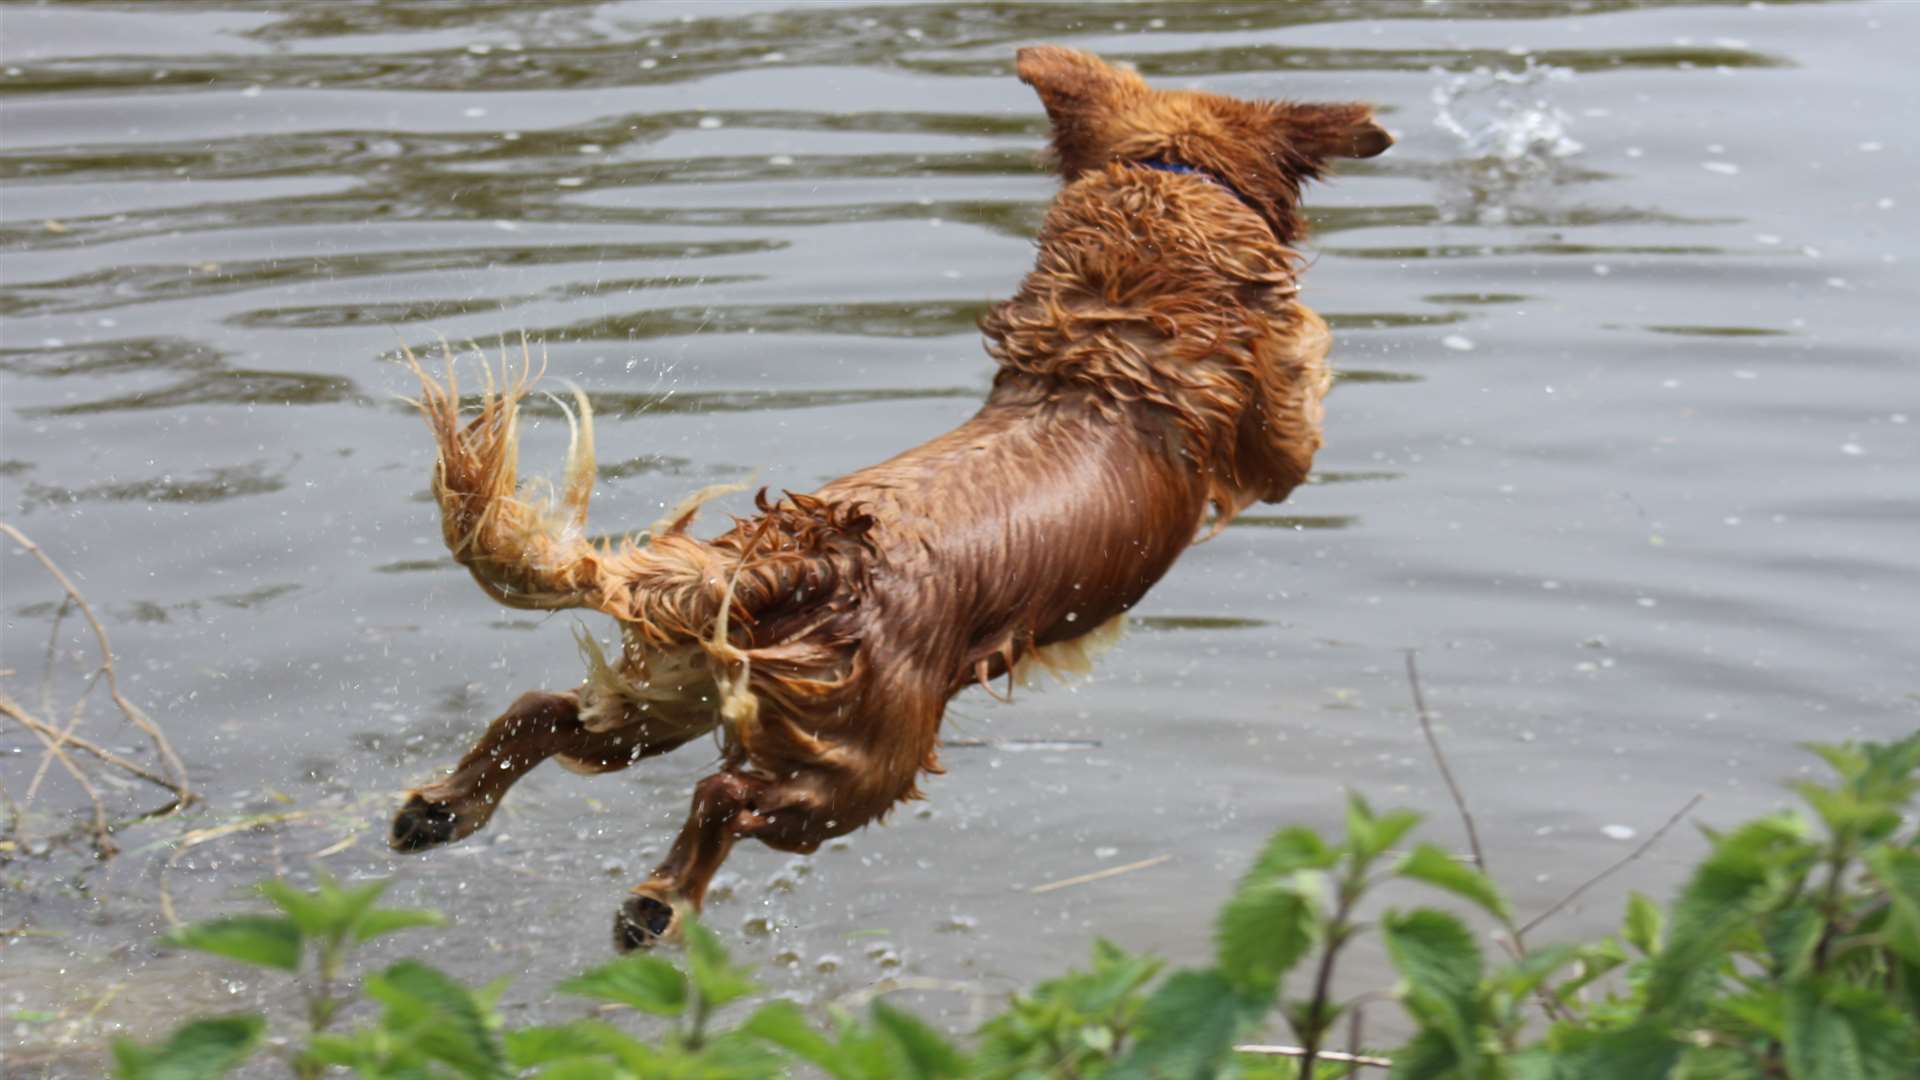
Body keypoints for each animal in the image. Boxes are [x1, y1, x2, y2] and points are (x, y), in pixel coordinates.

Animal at [389, 46, 1390, 945]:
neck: (1111, 323)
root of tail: (800, 552)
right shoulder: (1277, 449)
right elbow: (1305, 379)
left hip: (684, 689)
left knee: (551, 710)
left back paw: (441, 807)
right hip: (864, 762)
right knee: (725, 794)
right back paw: (655, 902)